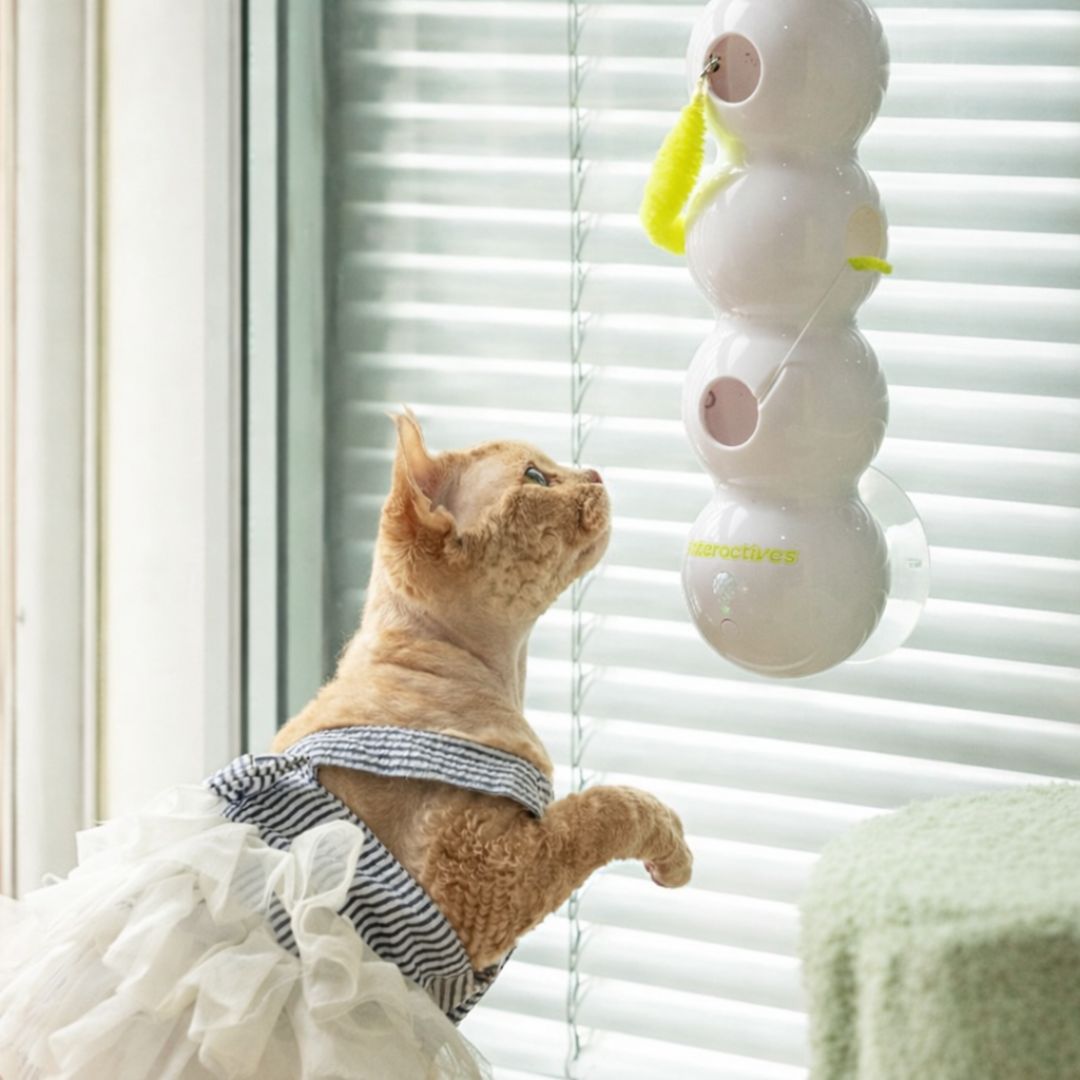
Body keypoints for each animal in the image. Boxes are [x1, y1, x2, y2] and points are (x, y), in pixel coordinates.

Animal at [273, 409, 693, 972]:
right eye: (535, 476)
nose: (596, 475)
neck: (501, 679)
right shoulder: (480, 882)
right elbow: (605, 808)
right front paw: (672, 847)